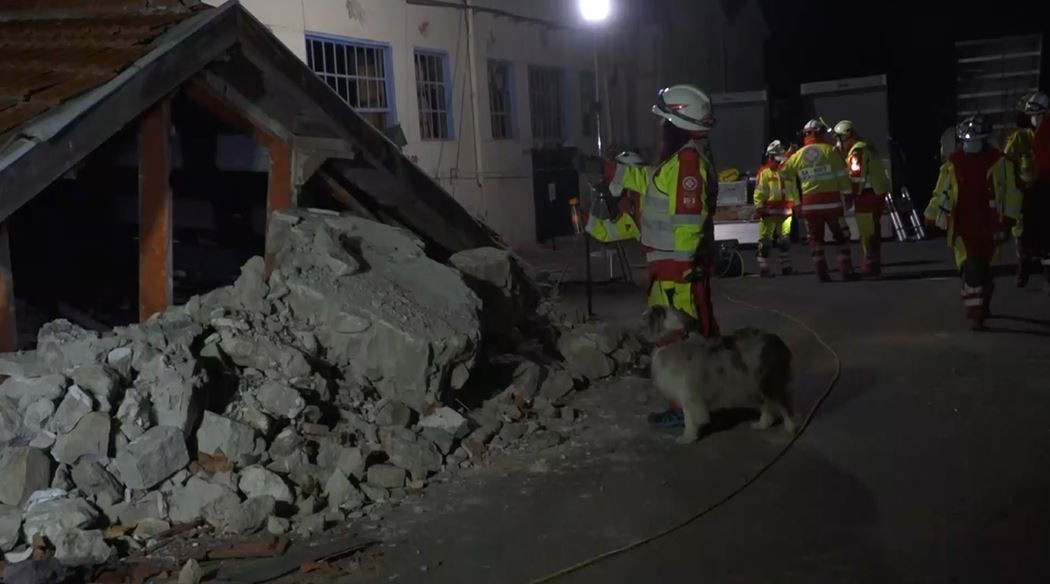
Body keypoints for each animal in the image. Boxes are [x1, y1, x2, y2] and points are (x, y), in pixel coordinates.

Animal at [646, 302, 793, 445]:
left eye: (651, 312)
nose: (644, 311)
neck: (673, 339)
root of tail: (778, 342)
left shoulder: (689, 395)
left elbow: (689, 419)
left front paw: (687, 438)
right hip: (758, 385)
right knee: (768, 407)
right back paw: (761, 425)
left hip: (770, 382)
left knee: (785, 406)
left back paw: (791, 427)